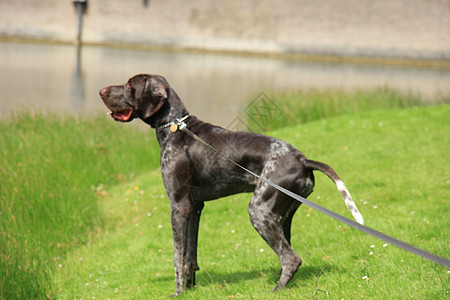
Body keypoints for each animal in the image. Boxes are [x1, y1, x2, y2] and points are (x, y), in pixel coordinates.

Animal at [98, 73, 362, 296]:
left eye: (129, 85)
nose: (101, 90)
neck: (174, 127)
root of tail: (303, 160)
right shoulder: (195, 208)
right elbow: (190, 256)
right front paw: (191, 289)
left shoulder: (178, 206)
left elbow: (177, 256)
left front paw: (178, 292)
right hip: (282, 216)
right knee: (288, 254)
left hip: (260, 211)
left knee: (291, 258)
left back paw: (275, 290)